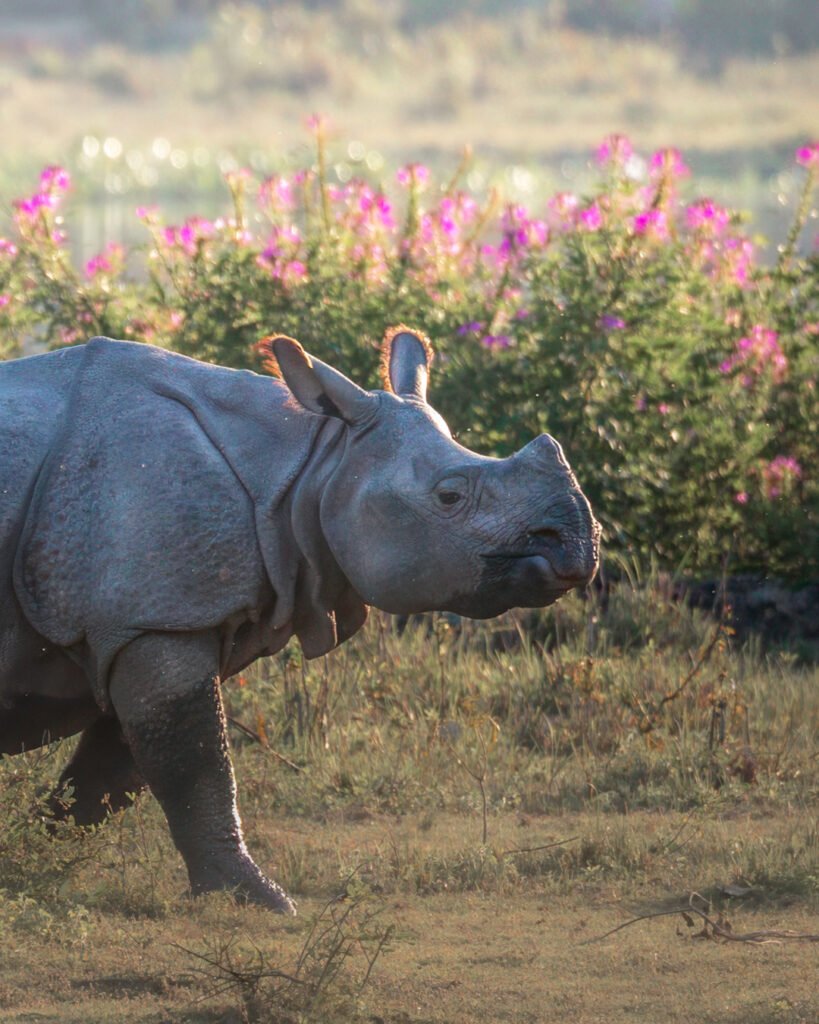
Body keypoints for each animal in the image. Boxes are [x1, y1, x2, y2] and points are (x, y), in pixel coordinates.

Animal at [0, 327, 599, 912]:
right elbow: (194, 765)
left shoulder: (153, 618)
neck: (308, 465)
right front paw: (260, 900)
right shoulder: (155, 618)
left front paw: (34, 861)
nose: (578, 542)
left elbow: (112, 772)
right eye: (449, 496)